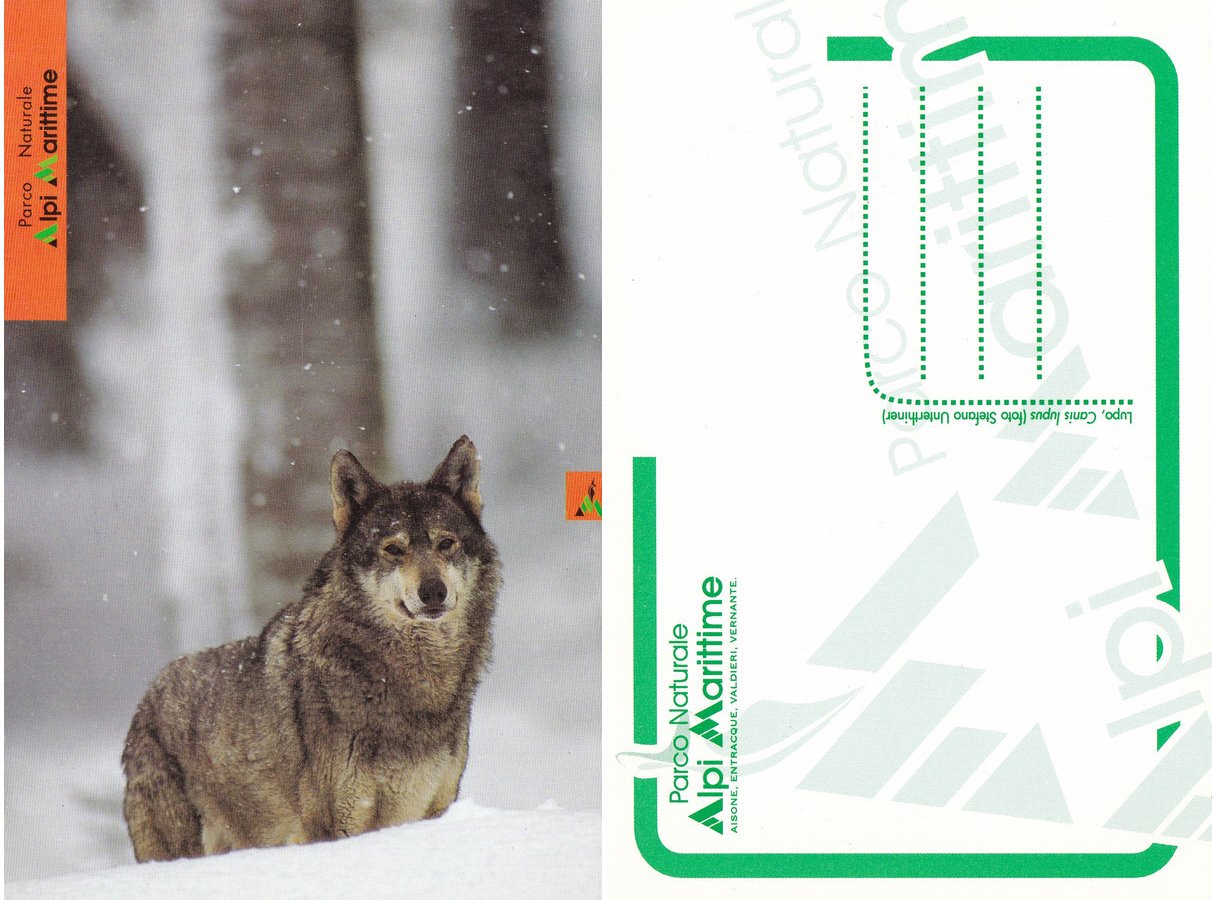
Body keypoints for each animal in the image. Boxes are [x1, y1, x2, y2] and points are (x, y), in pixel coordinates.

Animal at [122, 436, 500, 861]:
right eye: (393, 549)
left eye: (446, 543)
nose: (433, 591)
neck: (412, 685)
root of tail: (148, 694)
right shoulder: (335, 826)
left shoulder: (433, 809)